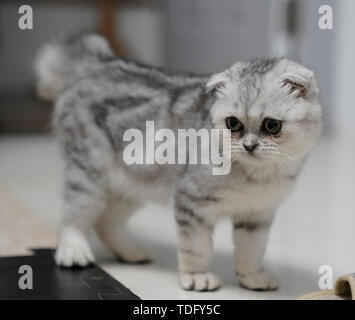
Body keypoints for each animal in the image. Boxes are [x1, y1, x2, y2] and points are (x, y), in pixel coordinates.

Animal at [35, 33, 322, 292]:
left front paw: (253, 277)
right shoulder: (191, 203)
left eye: (272, 126)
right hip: (88, 175)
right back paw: (73, 250)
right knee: (74, 216)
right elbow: (196, 248)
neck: (257, 175)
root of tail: (96, 63)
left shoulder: (257, 216)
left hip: (130, 185)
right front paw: (197, 276)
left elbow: (251, 251)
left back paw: (131, 252)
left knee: (106, 222)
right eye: (233, 124)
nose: (249, 146)